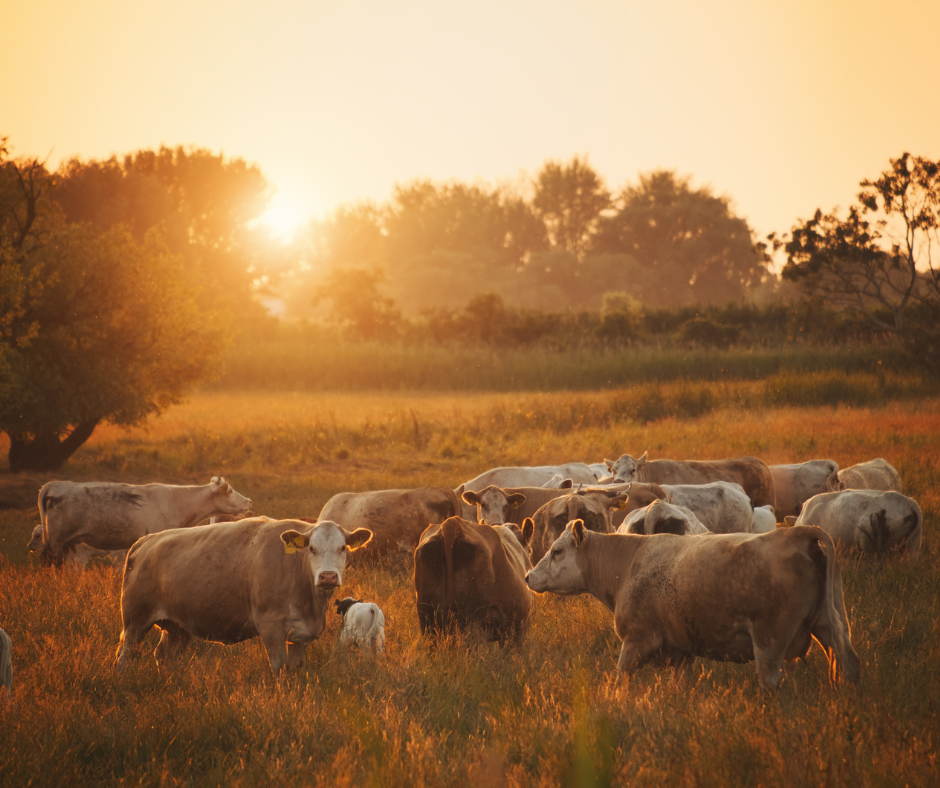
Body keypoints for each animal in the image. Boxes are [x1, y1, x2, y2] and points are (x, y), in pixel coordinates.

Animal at [37, 477, 251, 564]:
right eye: (230, 491)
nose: (249, 501)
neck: (177, 502)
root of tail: (54, 485)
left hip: (66, 543)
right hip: (56, 540)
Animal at [115, 518, 373, 674]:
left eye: (342, 548)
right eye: (311, 548)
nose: (327, 576)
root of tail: (145, 541)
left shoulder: (300, 636)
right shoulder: (271, 628)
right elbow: (280, 668)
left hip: (177, 627)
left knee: (164, 656)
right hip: (135, 622)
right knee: (124, 655)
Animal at [525, 520, 860, 689]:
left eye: (557, 551)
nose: (529, 576)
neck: (628, 563)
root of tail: (799, 533)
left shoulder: (637, 640)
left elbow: (620, 679)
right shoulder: (681, 650)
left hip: (769, 639)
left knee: (770, 680)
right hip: (829, 623)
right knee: (849, 663)